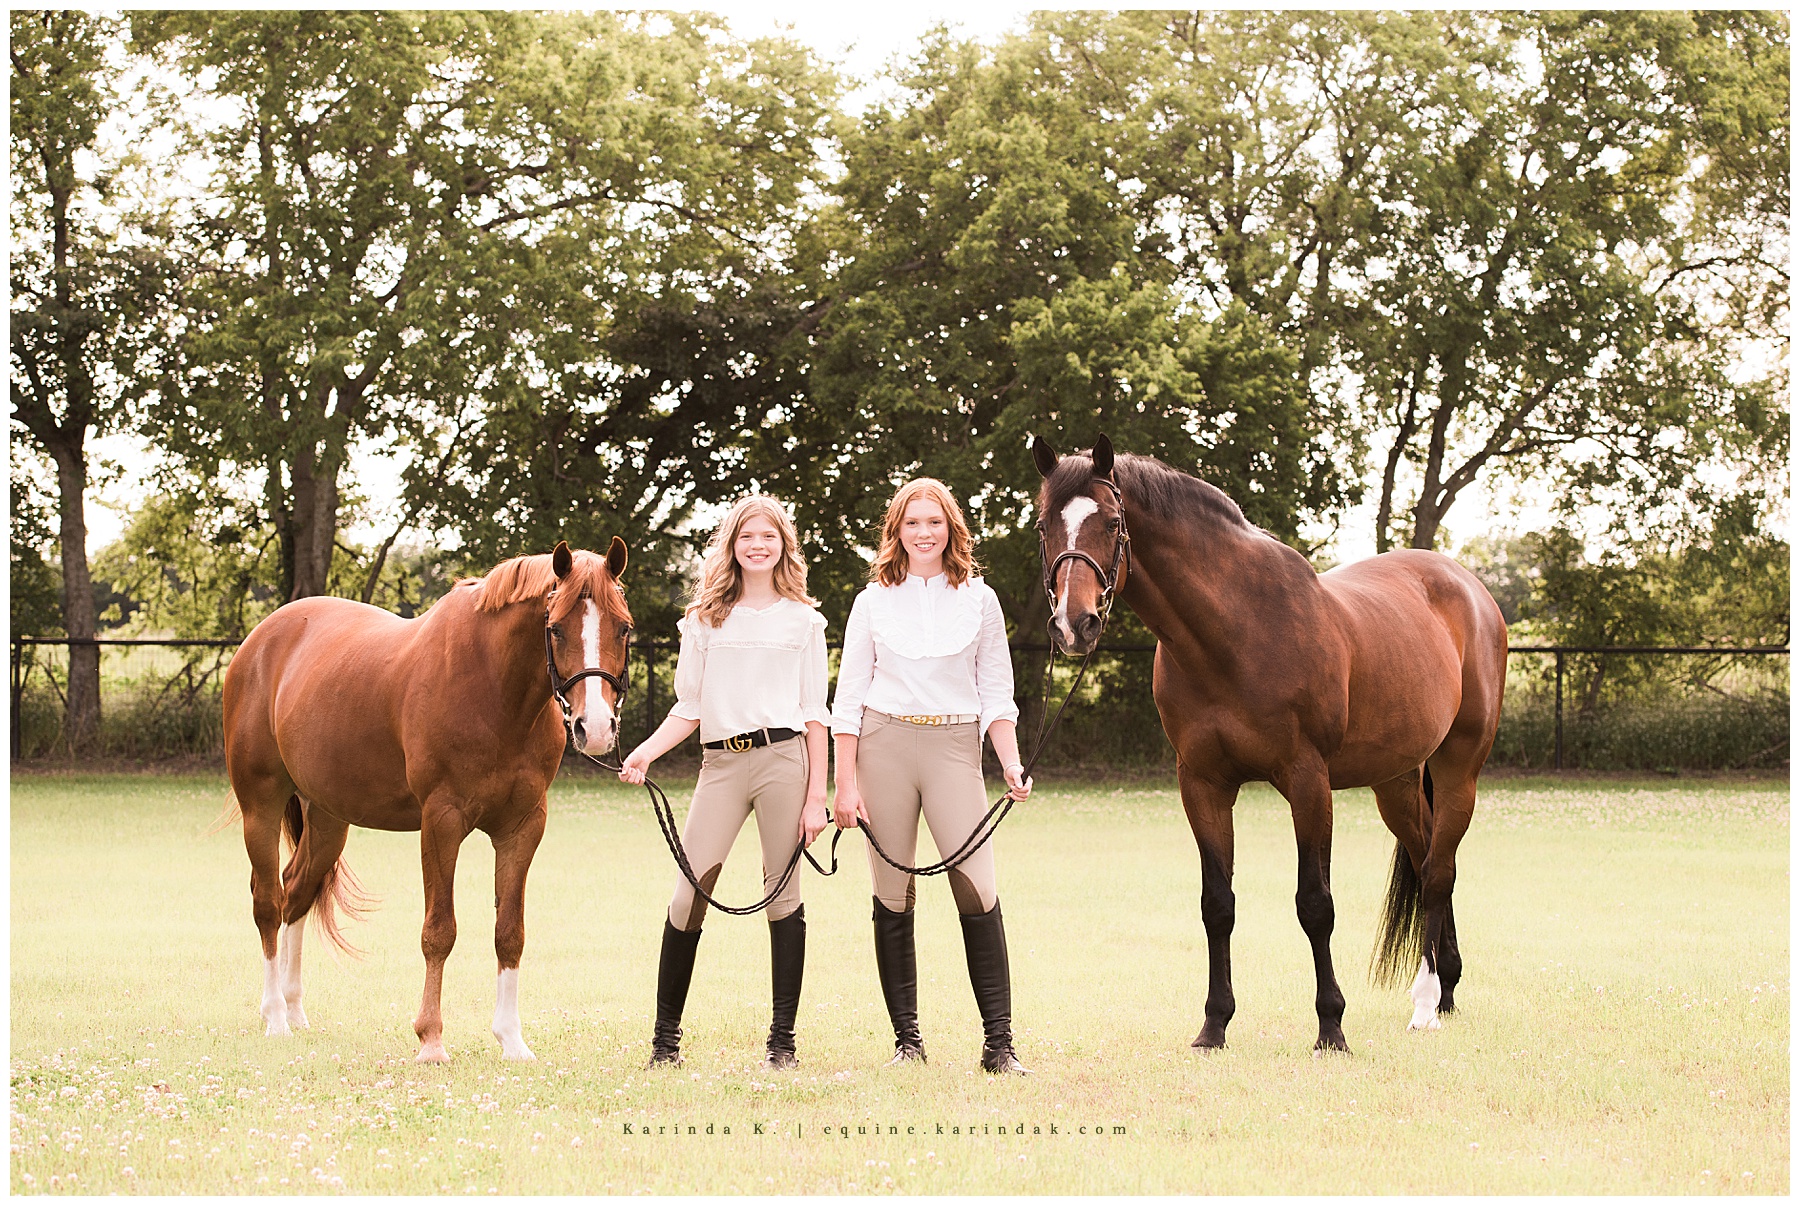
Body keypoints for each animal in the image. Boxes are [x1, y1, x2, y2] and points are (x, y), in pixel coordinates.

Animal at [220, 539, 631, 1063]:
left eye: (623, 627)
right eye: (555, 628)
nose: (594, 728)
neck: (493, 687)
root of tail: (259, 642)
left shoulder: (522, 828)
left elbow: (509, 933)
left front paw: (511, 1039)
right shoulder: (441, 821)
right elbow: (439, 932)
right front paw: (431, 1039)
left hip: (328, 820)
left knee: (297, 893)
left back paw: (294, 1010)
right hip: (262, 806)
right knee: (268, 904)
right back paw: (274, 1017)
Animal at [1032, 435, 1506, 1051]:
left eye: (1112, 522)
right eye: (1043, 525)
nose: (1074, 624)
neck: (1235, 633)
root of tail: (1468, 587)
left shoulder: (1308, 781)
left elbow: (1315, 905)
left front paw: (1331, 1027)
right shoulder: (1202, 784)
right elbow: (1217, 905)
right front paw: (1214, 1025)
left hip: (1458, 769)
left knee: (1438, 872)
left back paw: (1426, 1004)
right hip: (1395, 783)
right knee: (1429, 862)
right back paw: (1444, 988)